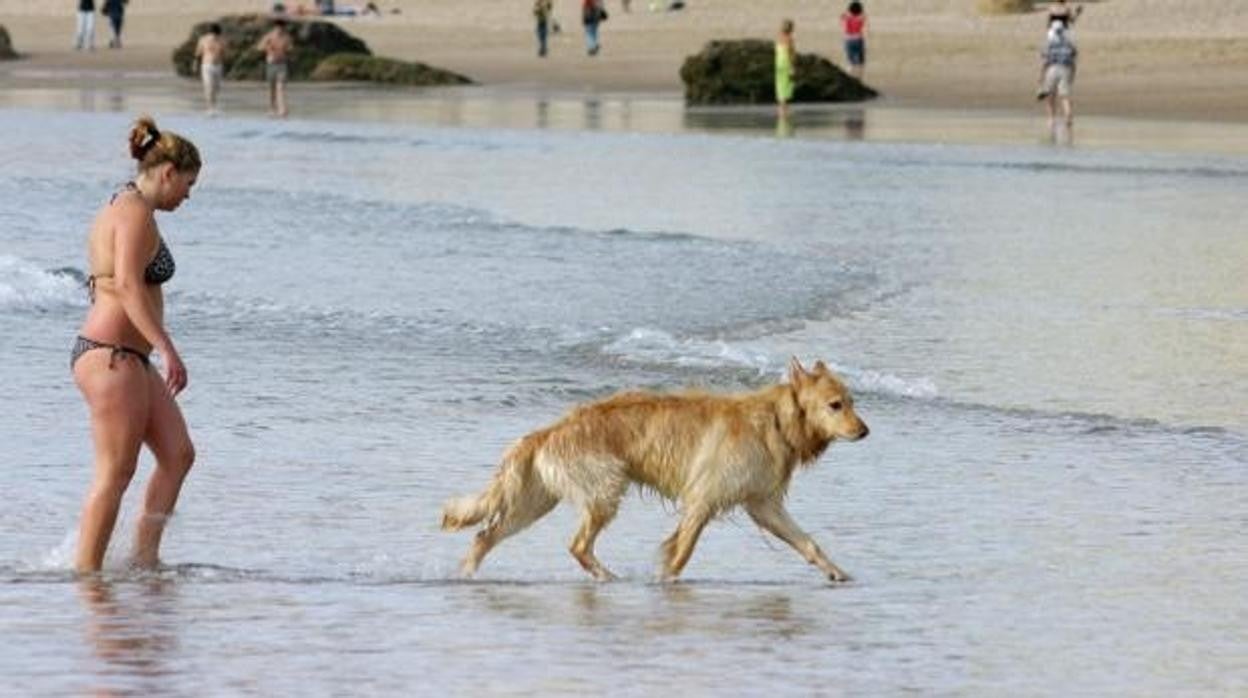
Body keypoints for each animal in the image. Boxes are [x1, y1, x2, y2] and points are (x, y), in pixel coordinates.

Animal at [446, 357, 868, 581]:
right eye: (834, 405)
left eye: (851, 401)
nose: (865, 431)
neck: (776, 421)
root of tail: (547, 431)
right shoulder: (703, 499)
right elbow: (682, 551)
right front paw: (665, 581)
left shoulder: (763, 504)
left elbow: (808, 542)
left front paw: (836, 571)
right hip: (604, 490)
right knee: (578, 545)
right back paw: (608, 578)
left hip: (535, 500)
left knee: (486, 535)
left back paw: (465, 574)